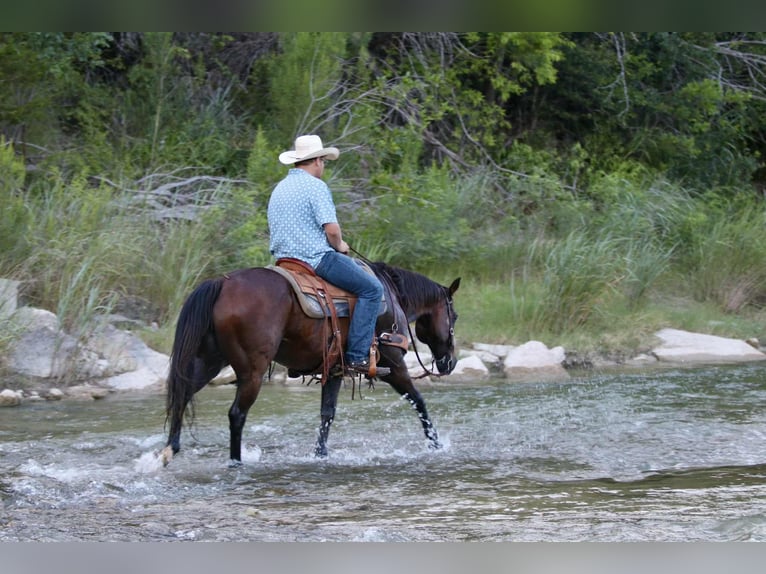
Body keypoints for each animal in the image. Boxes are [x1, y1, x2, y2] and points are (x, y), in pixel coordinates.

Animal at [161, 260, 460, 466]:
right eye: (454, 316)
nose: (450, 362)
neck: (393, 297)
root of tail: (222, 283)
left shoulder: (336, 369)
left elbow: (327, 414)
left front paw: (320, 454)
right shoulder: (393, 364)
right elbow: (418, 400)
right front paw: (435, 445)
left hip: (210, 360)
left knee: (183, 393)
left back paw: (169, 450)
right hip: (252, 371)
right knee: (236, 414)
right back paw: (236, 462)